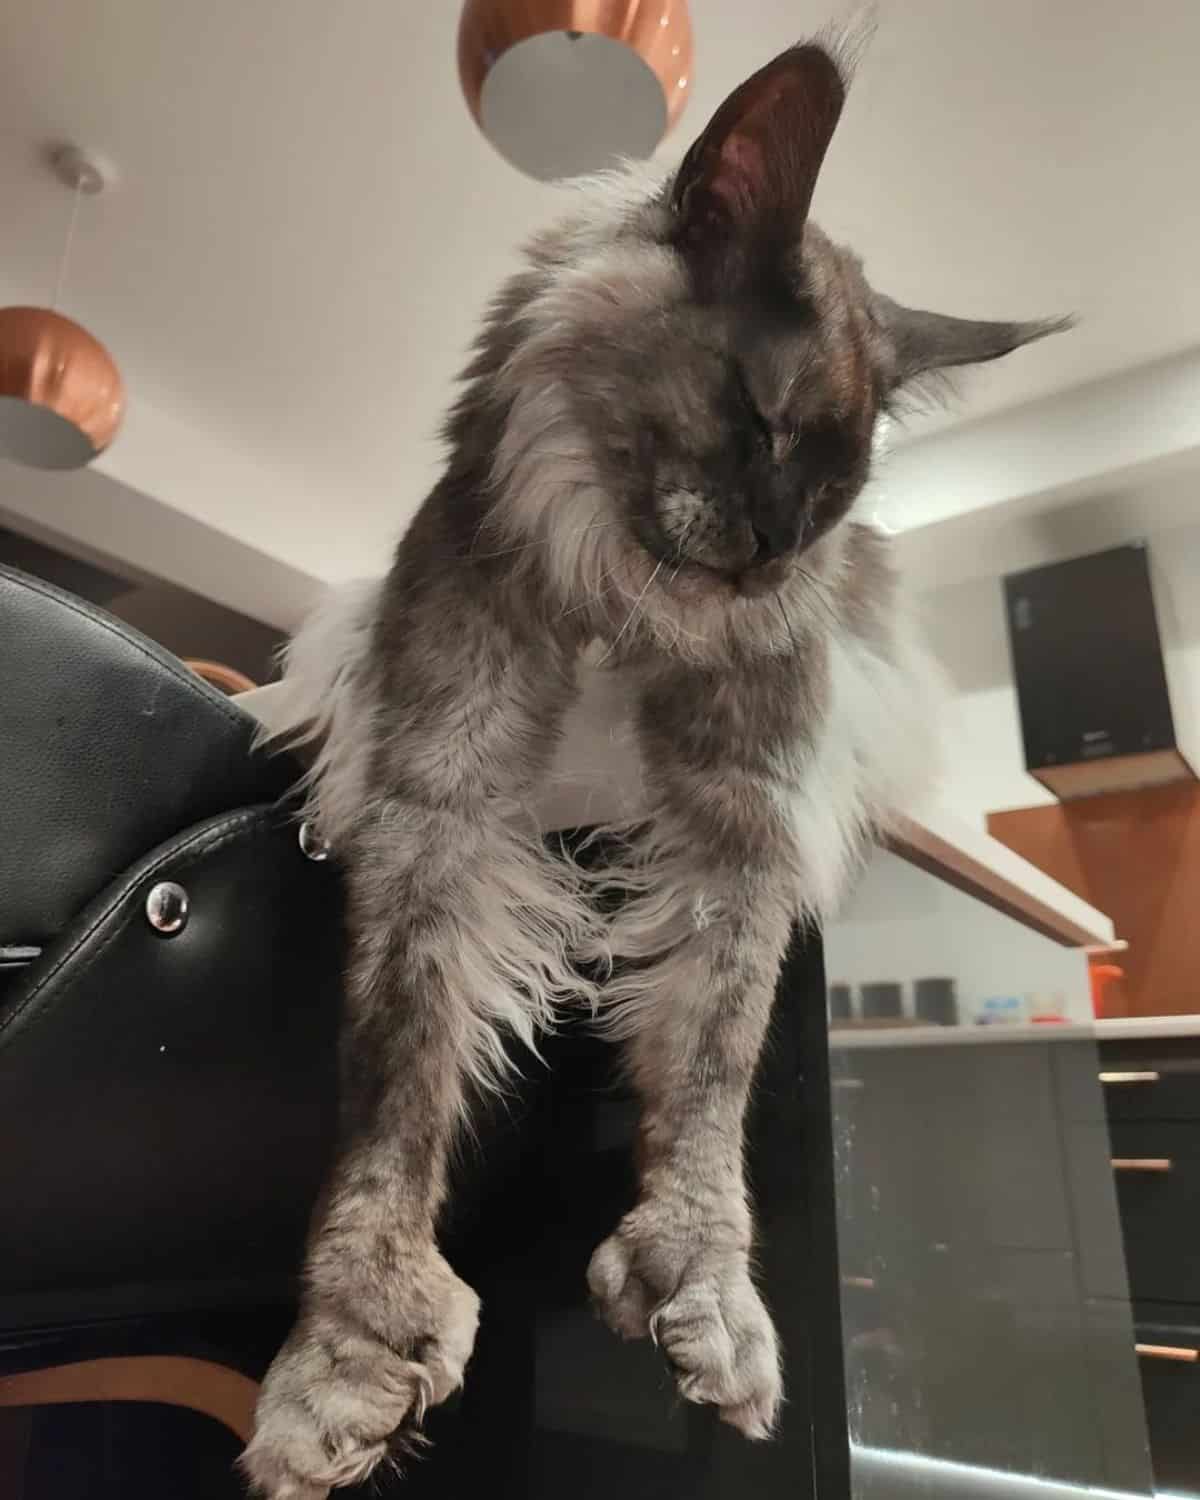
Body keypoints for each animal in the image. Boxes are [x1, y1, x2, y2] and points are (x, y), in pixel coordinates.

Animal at [238, 35, 1062, 1500]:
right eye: (764, 418)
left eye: (842, 489)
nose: (780, 551)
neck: (627, 621)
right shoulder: (440, 804)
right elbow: (392, 1093)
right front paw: (345, 1355)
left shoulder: (741, 841)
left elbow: (711, 1083)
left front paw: (705, 1291)